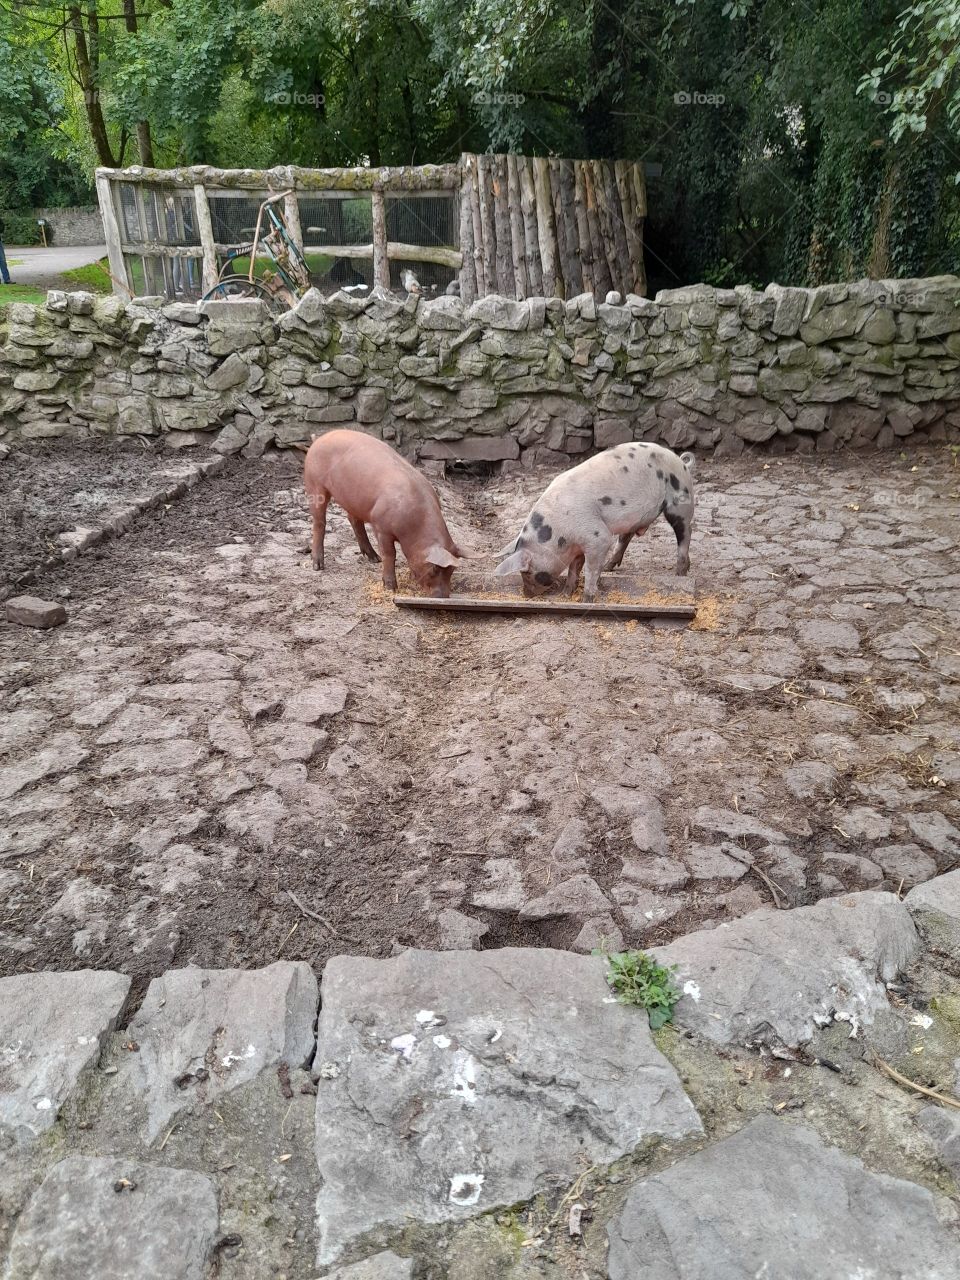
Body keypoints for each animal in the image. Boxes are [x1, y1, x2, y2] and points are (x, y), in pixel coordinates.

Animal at [300, 424, 471, 593]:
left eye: (452, 571)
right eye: (434, 569)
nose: (442, 596)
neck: (415, 525)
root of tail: (320, 438)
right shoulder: (381, 527)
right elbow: (390, 554)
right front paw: (390, 588)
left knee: (353, 519)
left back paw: (374, 559)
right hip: (314, 484)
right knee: (319, 522)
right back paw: (318, 566)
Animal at [499, 442, 696, 601]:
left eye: (526, 572)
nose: (526, 595)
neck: (558, 534)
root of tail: (681, 462)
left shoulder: (597, 536)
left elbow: (590, 568)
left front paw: (587, 599)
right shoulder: (578, 545)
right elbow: (574, 568)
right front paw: (566, 594)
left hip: (680, 501)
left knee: (685, 533)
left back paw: (680, 573)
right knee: (626, 537)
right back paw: (609, 567)